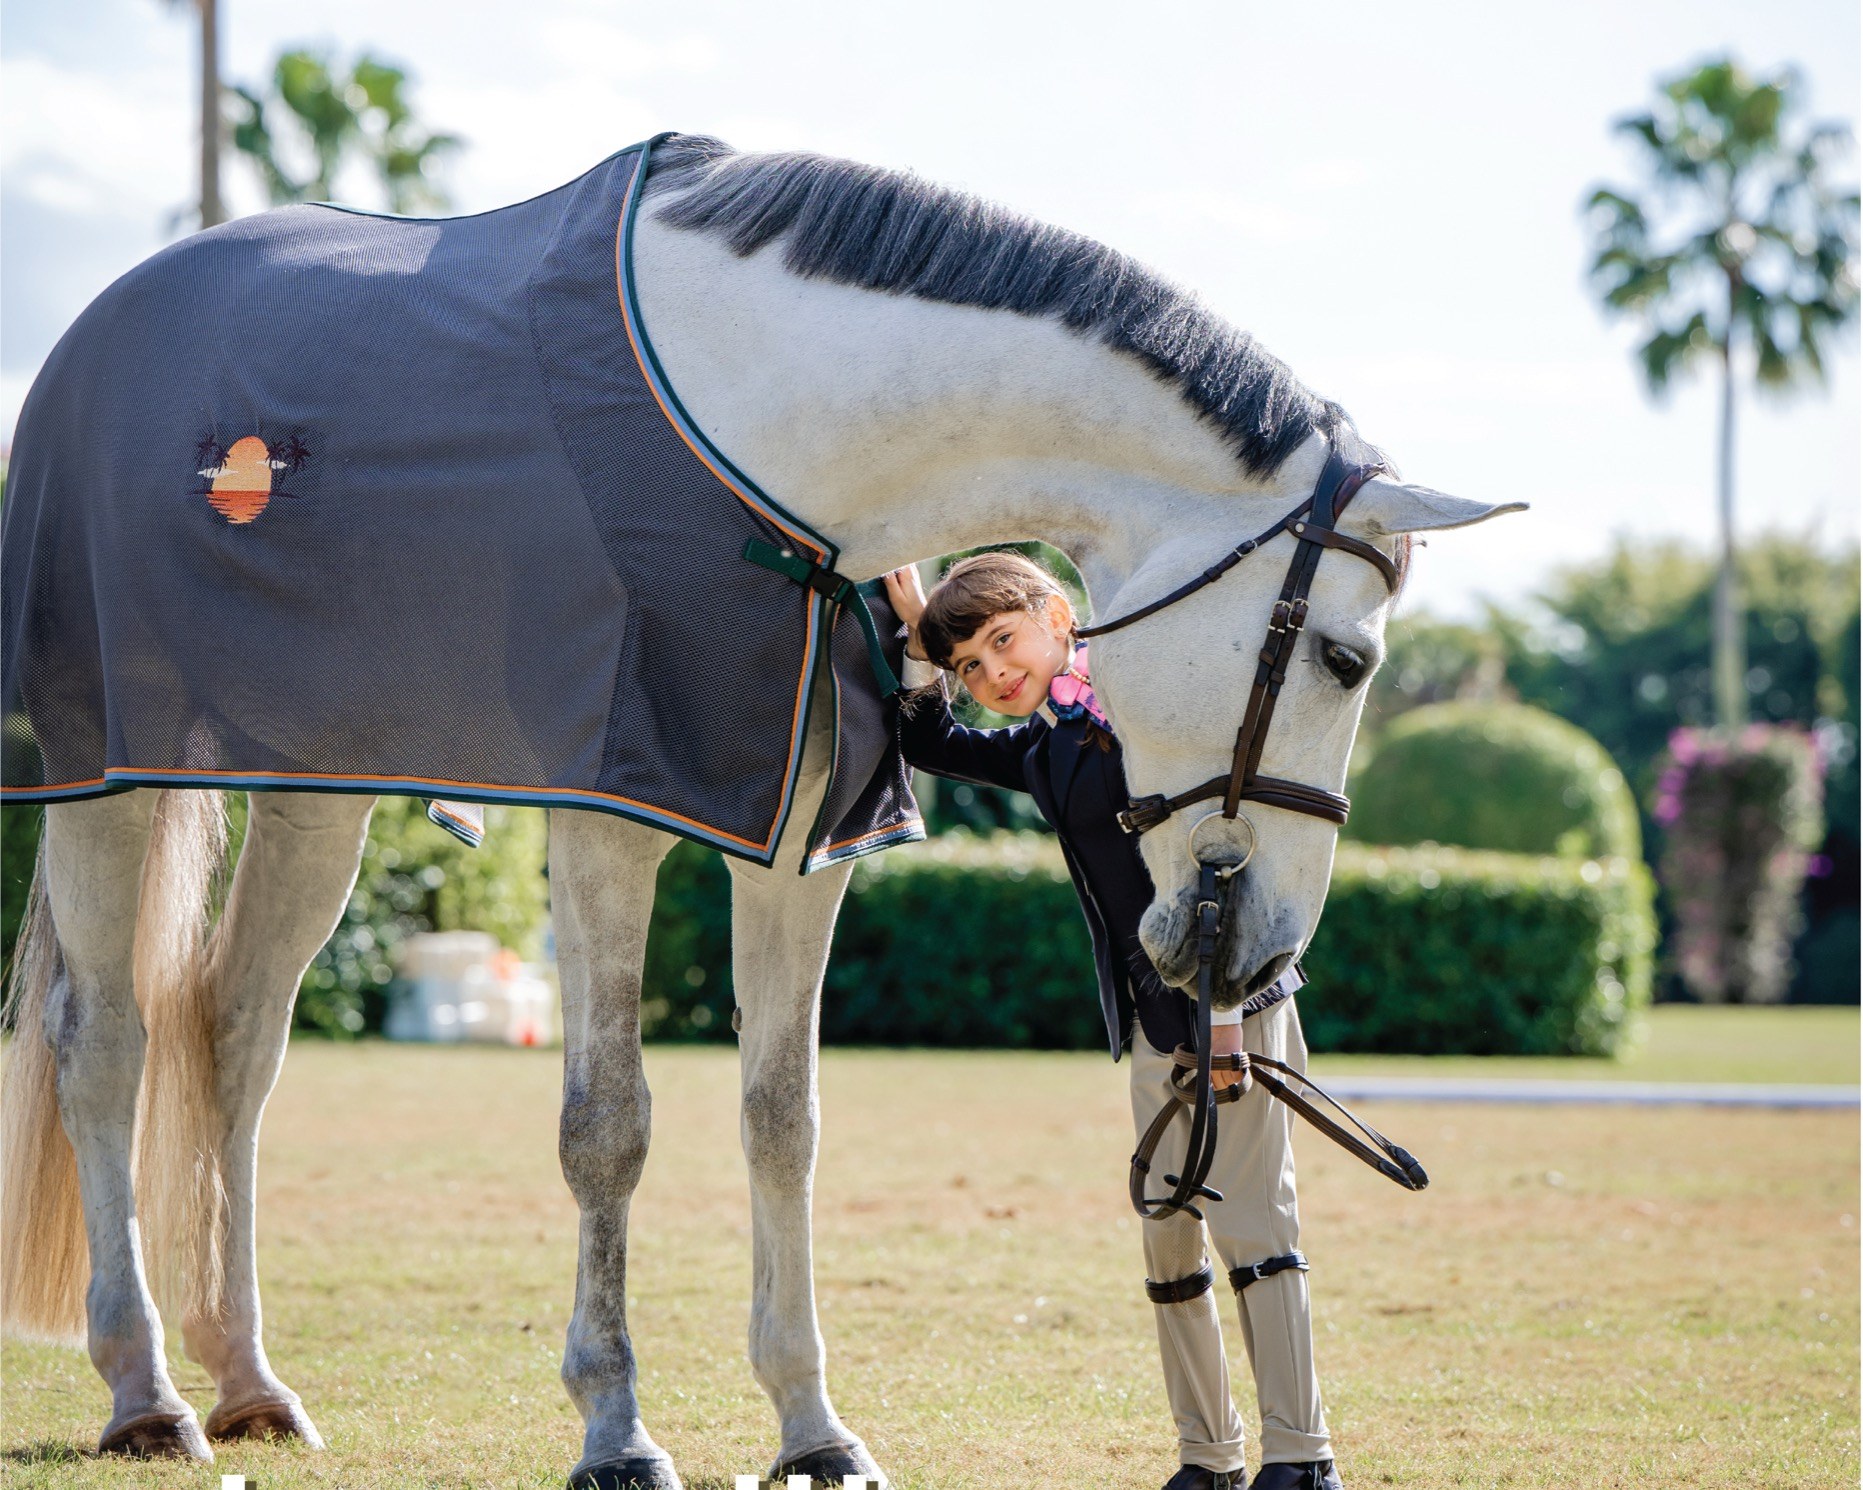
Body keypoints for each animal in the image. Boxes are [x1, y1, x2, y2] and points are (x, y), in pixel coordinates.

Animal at [0, 132, 1523, 1488]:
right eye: (1348, 658)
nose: (1261, 953)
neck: (765, 443)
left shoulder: (803, 845)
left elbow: (781, 1117)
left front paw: (811, 1426)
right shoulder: (607, 815)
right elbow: (607, 1126)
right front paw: (616, 1429)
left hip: (315, 794)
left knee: (237, 1038)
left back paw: (249, 1378)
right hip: (105, 783)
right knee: (107, 1043)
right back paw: (147, 1392)